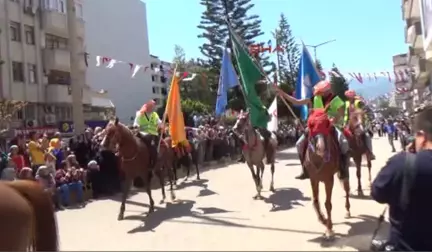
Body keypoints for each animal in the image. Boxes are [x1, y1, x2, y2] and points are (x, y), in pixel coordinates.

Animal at [304, 108, 352, 238]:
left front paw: (329, 229)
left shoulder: (328, 179)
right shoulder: (313, 179)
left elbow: (328, 204)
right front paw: (323, 220)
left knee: (347, 189)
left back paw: (347, 211)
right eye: (311, 125)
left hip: (344, 171)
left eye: (327, 124)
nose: (321, 148)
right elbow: (315, 201)